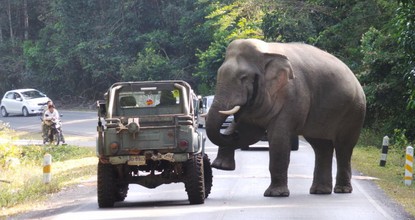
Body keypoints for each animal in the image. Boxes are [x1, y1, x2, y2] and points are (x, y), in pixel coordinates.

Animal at [206, 39, 366, 198]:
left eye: (243, 78)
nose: (232, 132)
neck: (266, 52)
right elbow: (250, 133)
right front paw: (221, 166)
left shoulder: (292, 97)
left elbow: (278, 138)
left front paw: (275, 194)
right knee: (321, 146)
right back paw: (320, 191)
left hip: (354, 112)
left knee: (343, 146)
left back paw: (342, 190)